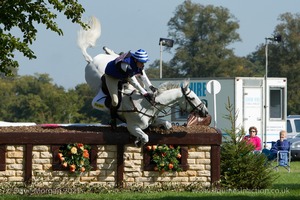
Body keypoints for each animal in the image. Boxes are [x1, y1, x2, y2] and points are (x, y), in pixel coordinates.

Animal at [77, 16, 209, 145]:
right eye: (192, 98)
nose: (206, 112)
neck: (149, 105)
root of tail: (91, 61)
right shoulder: (132, 126)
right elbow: (145, 138)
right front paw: (137, 141)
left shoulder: (152, 120)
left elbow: (166, 124)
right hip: (98, 79)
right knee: (113, 99)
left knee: (115, 56)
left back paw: (109, 50)